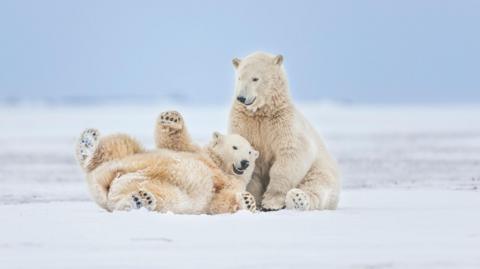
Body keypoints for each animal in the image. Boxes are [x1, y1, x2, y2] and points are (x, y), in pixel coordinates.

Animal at [76, 109, 258, 214]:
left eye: (249, 152)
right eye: (235, 147)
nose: (245, 162)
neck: (219, 166)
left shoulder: (231, 184)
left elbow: (220, 202)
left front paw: (248, 201)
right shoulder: (195, 152)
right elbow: (174, 141)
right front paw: (171, 117)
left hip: (164, 194)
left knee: (127, 200)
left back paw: (141, 199)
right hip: (126, 158)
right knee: (118, 144)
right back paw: (88, 142)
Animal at [230, 51, 340, 210]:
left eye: (255, 78)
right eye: (239, 77)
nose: (241, 98)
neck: (262, 112)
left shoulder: (283, 122)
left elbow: (290, 153)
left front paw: (271, 202)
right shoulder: (244, 122)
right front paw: (251, 198)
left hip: (321, 167)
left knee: (318, 184)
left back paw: (298, 198)